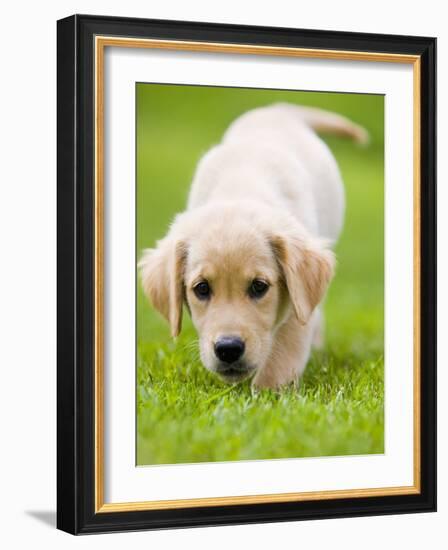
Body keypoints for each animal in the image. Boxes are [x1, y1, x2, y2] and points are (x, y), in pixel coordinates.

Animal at [140, 102, 368, 388]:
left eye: (259, 286)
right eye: (201, 288)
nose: (228, 349)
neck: (240, 188)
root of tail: (277, 110)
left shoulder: (297, 301)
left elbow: (284, 352)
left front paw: (268, 392)